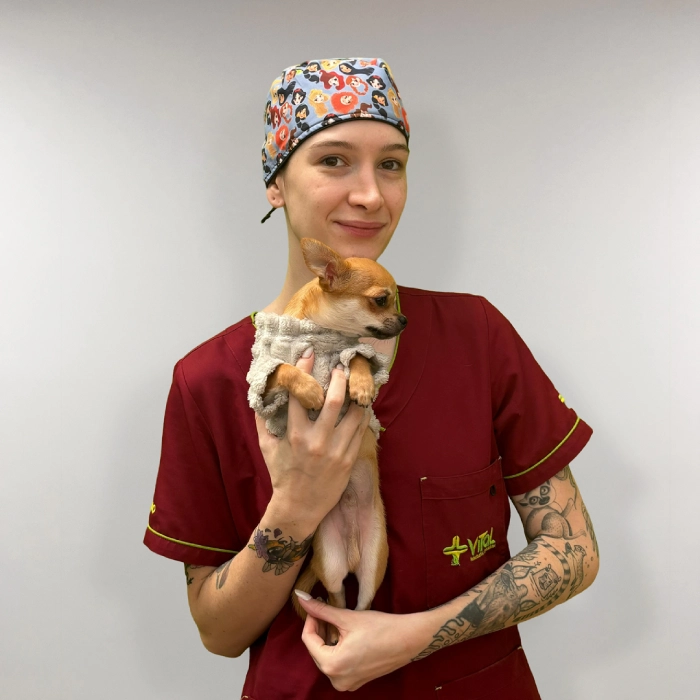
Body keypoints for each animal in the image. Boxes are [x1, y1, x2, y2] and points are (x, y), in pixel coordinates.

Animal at [261, 238, 407, 639]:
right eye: (381, 300)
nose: (405, 320)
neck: (321, 334)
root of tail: (354, 552)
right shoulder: (264, 375)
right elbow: (282, 368)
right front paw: (310, 389)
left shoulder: (352, 348)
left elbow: (357, 357)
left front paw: (360, 385)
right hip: (330, 562)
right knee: (337, 598)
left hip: (375, 564)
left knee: (361, 605)